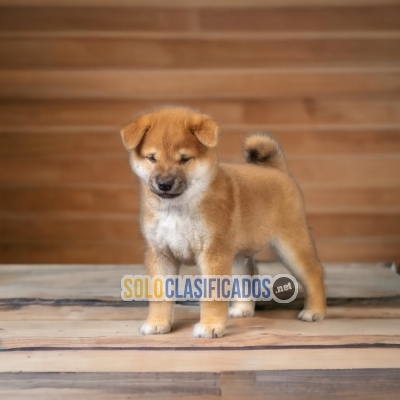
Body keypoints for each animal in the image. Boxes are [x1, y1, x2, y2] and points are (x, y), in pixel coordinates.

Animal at [121, 106, 324, 338]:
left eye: (184, 159)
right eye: (152, 158)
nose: (164, 184)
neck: (178, 208)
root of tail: (277, 169)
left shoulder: (213, 252)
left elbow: (212, 295)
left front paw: (210, 326)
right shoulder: (160, 253)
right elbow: (160, 294)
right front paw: (157, 323)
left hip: (290, 244)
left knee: (314, 273)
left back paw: (315, 311)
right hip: (237, 253)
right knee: (247, 275)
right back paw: (242, 309)